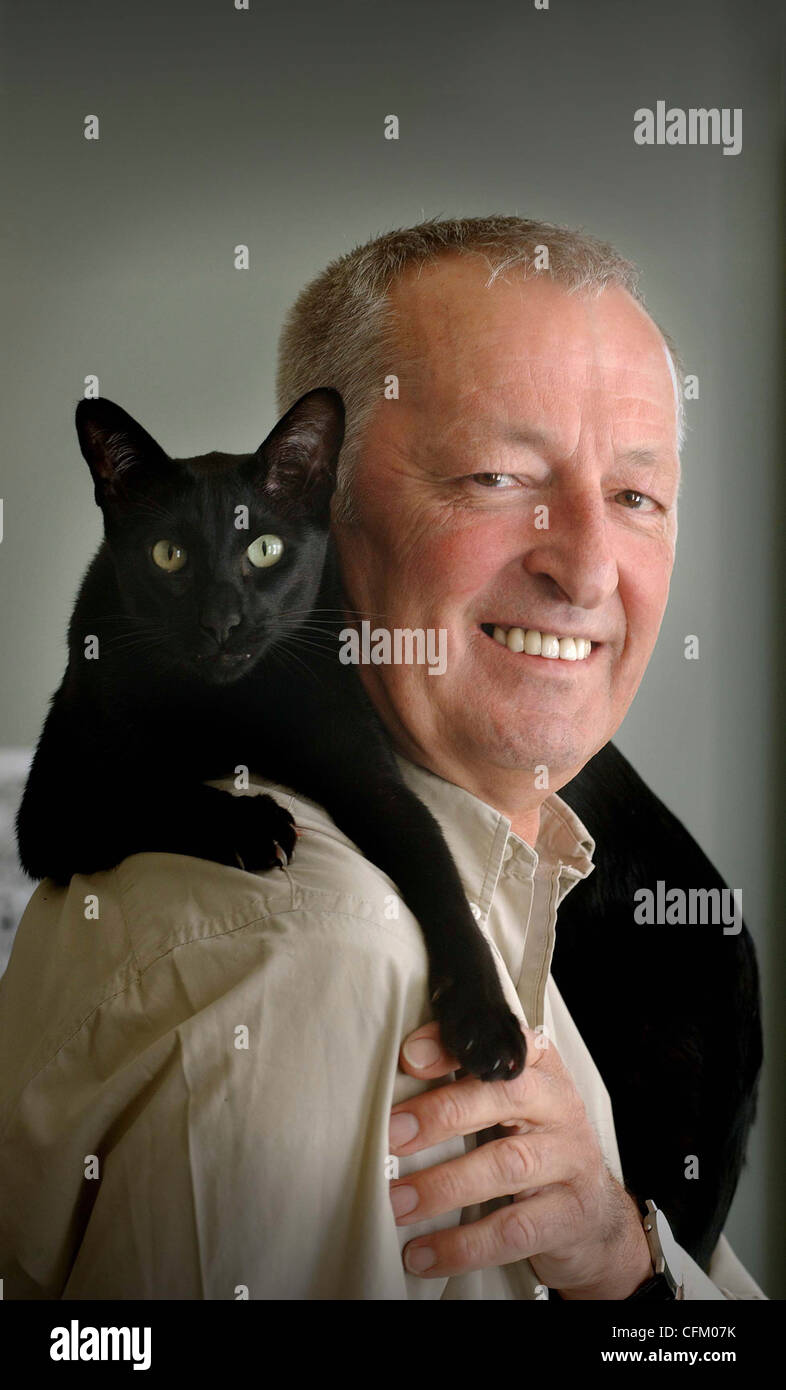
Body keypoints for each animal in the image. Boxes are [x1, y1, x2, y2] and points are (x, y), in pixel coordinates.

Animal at [13, 391, 525, 1084]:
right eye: (168, 555)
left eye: (264, 550)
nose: (221, 621)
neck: (232, 706)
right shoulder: (55, 799)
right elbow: (156, 791)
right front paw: (253, 824)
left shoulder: (370, 776)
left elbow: (439, 874)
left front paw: (486, 1018)